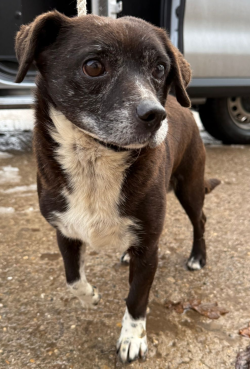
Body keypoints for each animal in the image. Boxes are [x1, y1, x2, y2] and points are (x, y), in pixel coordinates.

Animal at [14, 10, 220, 362]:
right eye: (93, 66)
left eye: (160, 68)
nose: (156, 115)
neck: (96, 161)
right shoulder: (65, 230)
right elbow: (72, 278)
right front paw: (90, 296)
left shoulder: (149, 247)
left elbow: (137, 298)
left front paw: (133, 338)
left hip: (190, 186)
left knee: (201, 219)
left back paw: (197, 257)